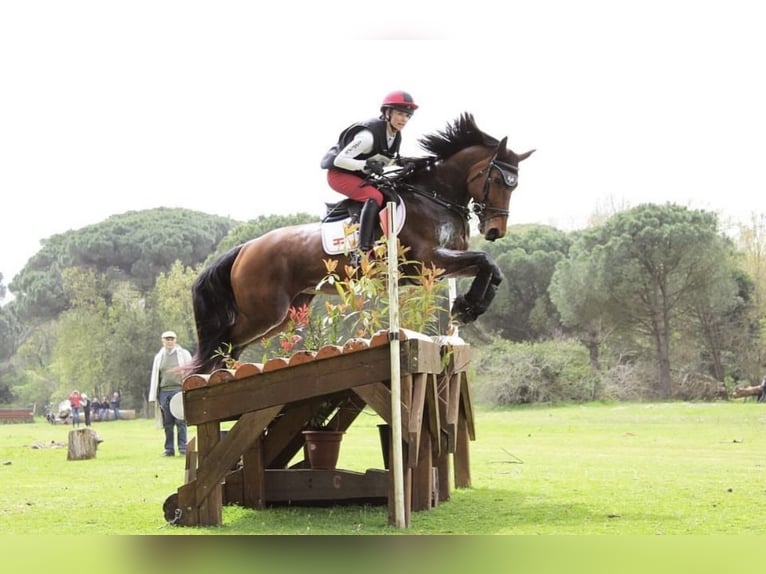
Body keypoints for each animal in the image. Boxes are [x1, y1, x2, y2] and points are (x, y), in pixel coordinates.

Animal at [188, 114, 536, 376]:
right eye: (496, 180)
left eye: (515, 186)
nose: (495, 230)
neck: (434, 196)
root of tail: (245, 248)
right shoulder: (429, 261)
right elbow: (485, 259)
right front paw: (468, 306)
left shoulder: (443, 264)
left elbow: (490, 267)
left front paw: (468, 306)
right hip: (264, 311)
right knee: (224, 343)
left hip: (289, 311)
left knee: (231, 346)